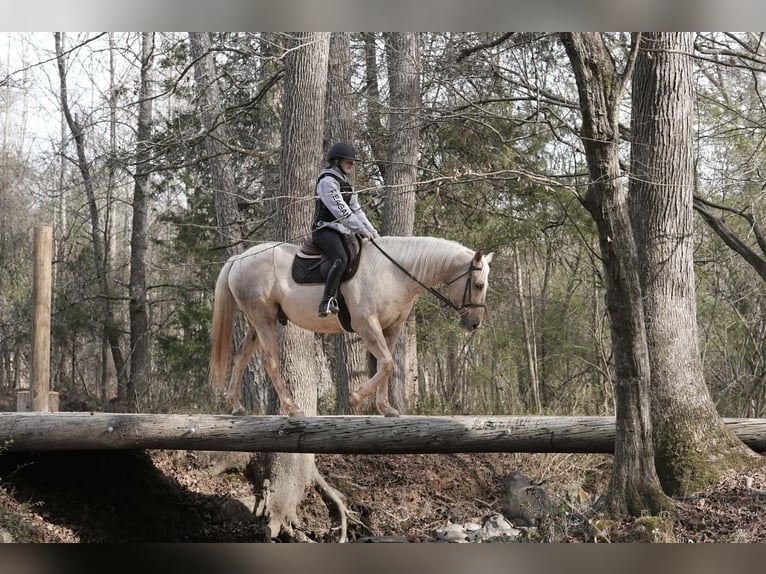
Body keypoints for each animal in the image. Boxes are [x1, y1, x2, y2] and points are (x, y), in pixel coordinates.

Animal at [208, 235, 494, 418]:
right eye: (479, 284)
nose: (474, 323)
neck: (393, 273)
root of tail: (240, 258)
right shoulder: (367, 326)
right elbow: (387, 364)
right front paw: (356, 397)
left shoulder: (391, 329)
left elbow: (386, 365)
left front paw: (385, 408)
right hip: (263, 320)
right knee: (271, 363)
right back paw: (293, 408)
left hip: (257, 323)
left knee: (241, 356)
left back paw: (236, 406)